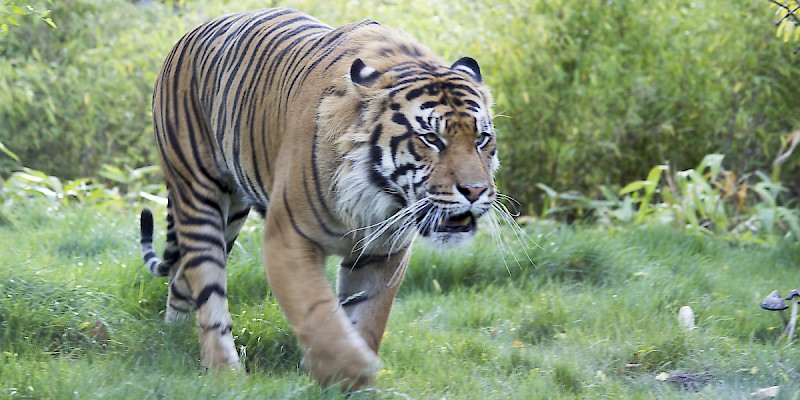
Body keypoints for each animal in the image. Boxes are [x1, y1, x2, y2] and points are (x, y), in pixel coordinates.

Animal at [138, 5, 500, 388]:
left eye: (481, 139)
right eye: (431, 138)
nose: (475, 191)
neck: (375, 197)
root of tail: (188, 34)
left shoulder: (382, 253)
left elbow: (367, 320)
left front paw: (356, 386)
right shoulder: (288, 240)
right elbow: (319, 315)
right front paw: (347, 370)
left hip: (232, 215)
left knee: (183, 275)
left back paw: (173, 335)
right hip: (198, 194)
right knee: (207, 287)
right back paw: (223, 371)